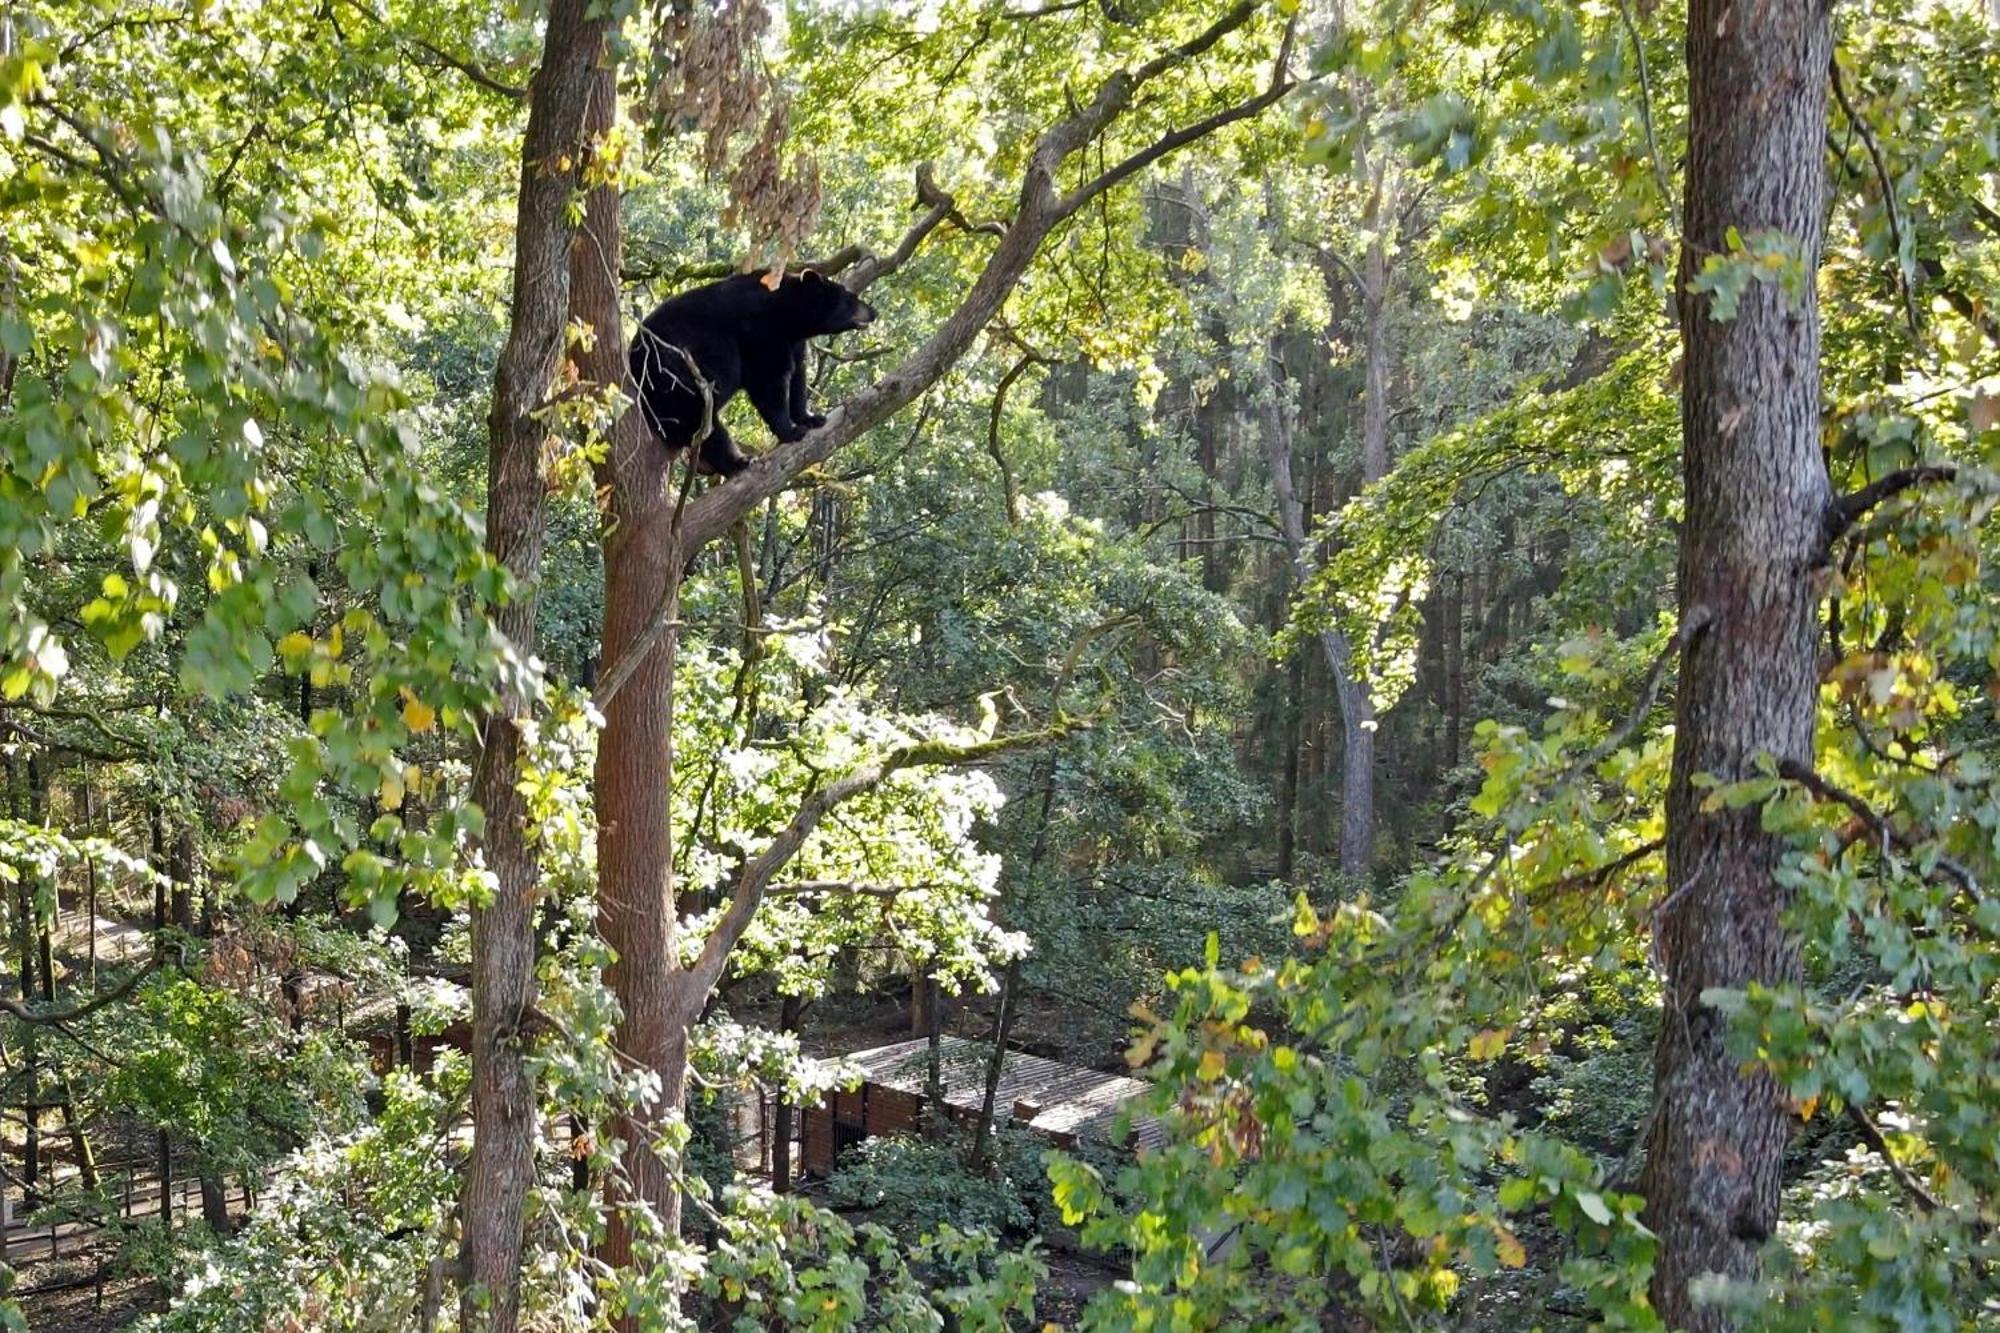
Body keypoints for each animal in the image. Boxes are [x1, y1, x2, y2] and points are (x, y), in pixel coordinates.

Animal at [624, 268, 876, 474]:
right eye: (851, 298)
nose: (873, 312)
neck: (788, 313)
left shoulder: (794, 341)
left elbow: (797, 377)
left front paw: (811, 417)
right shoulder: (760, 330)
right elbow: (769, 380)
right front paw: (791, 431)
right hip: (675, 373)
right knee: (698, 418)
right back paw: (737, 462)